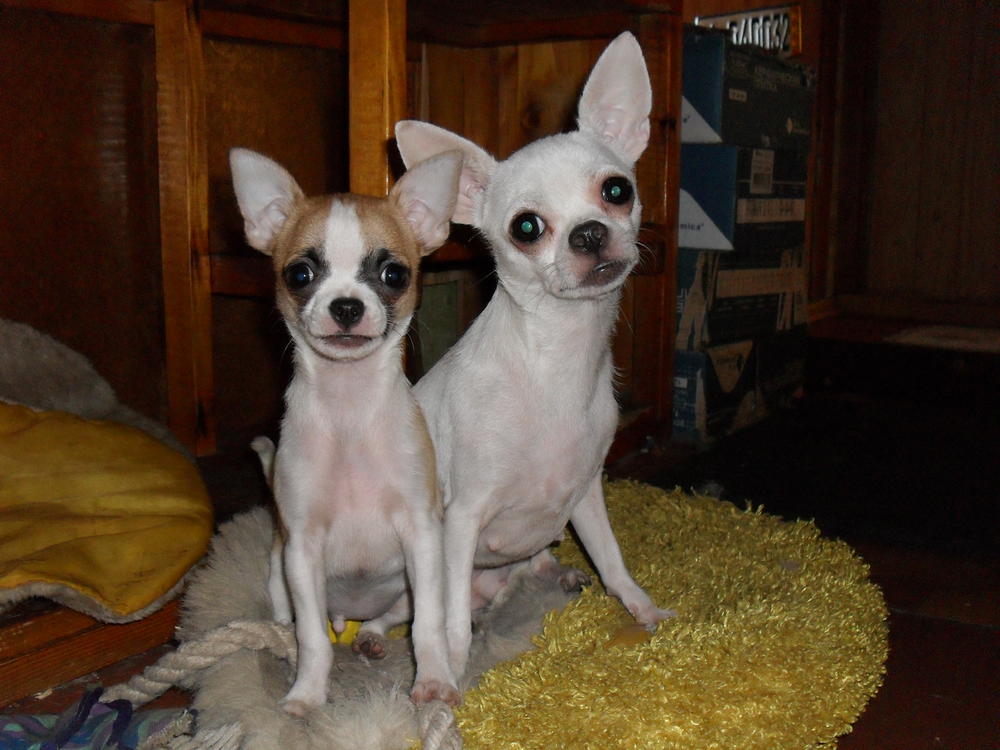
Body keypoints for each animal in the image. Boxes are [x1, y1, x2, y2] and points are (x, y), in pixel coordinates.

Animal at [229, 147, 462, 714]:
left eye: (394, 274)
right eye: (300, 273)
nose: (347, 305)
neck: (349, 410)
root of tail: (349, 612)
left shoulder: (423, 537)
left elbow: (429, 625)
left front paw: (434, 682)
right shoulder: (301, 549)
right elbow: (313, 637)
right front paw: (307, 694)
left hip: (406, 582)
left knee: (393, 617)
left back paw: (372, 637)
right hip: (279, 568)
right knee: (298, 619)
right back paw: (285, 639)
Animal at [395, 31, 675, 678]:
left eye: (617, 190)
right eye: (526, 227)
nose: (589, 232)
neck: (556, 360)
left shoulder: (587, 495)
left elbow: (614, 562)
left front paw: (643, 611)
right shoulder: (462, 517)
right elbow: (447, 621)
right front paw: (452, 676)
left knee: (528, 570)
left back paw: (554, 573)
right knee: (412, 611)